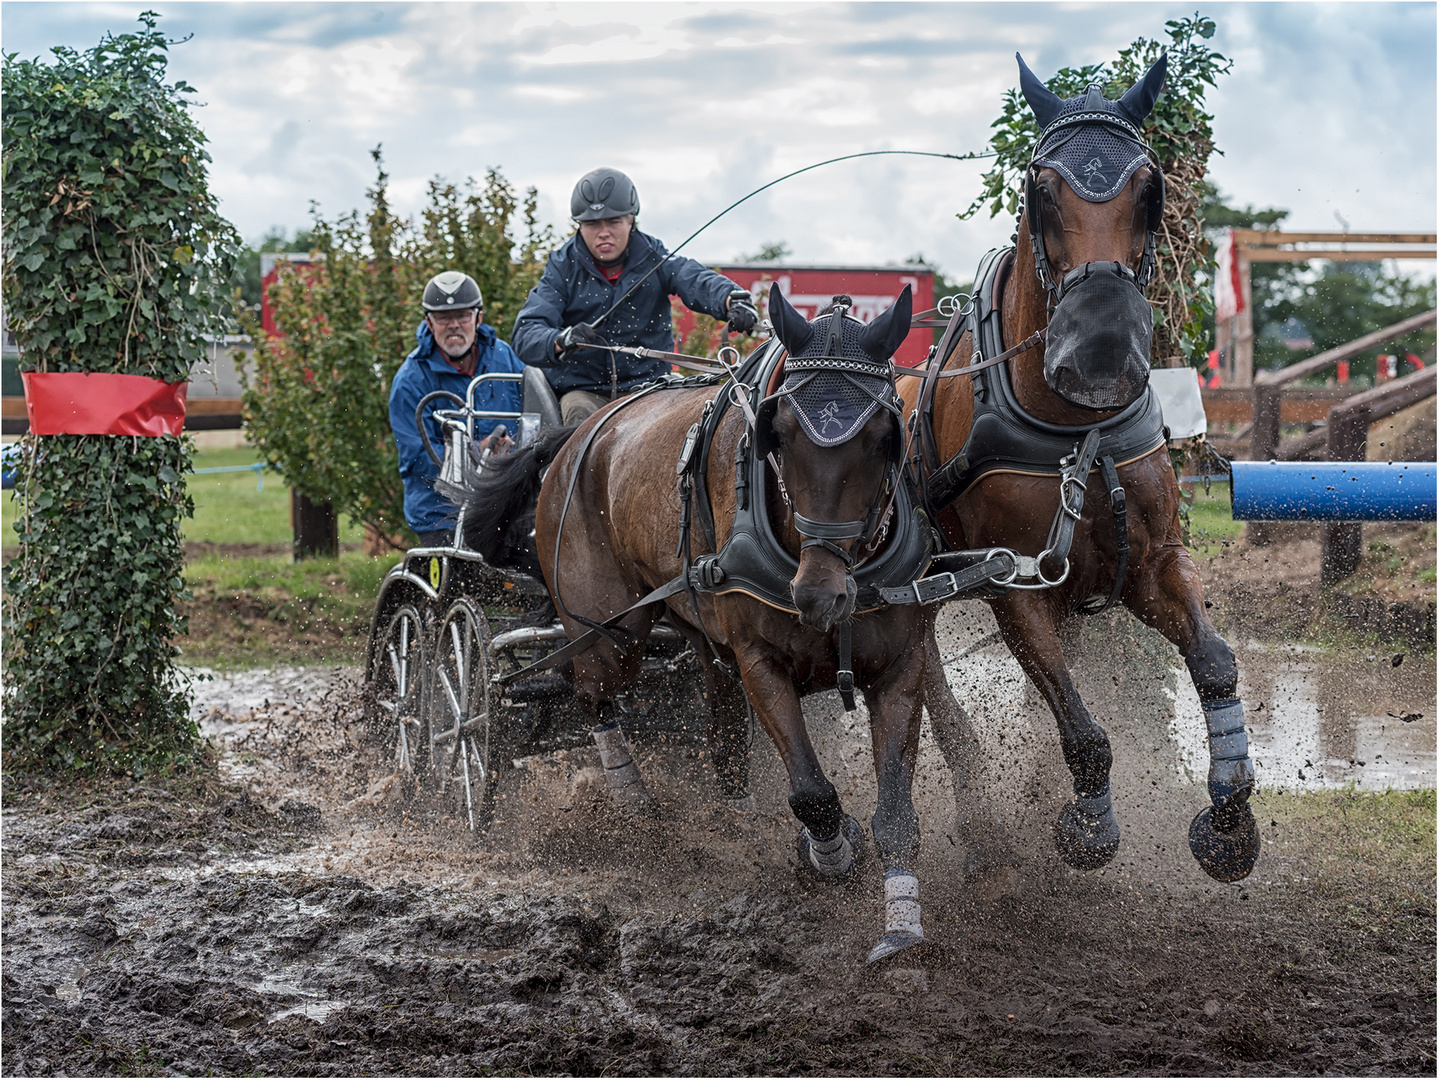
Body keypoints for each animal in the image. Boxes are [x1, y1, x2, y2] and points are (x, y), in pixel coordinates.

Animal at [451, 284, 943, 960]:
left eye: (883, 434)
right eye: (779, 434)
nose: (819, 594)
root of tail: (577, 436)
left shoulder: (900, 666)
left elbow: (896, 814)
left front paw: (901, 928)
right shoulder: (762, 661)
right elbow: (812, 793)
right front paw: (830, 856)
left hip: (699, 633)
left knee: (718, 724)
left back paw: (732, 812)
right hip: (607, 628)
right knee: (591, 693)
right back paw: (633, 804)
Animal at [903, 50, 1266, 880]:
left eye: (1151, 187)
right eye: (1040, 191)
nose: (1099, 359)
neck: (1077, 428)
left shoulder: (1151, 562)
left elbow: (1214, 663)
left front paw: (1229, 822)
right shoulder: (1012, 584)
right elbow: (1081, 722)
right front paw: (1086, 824)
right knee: (924, 675)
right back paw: (977, 815)